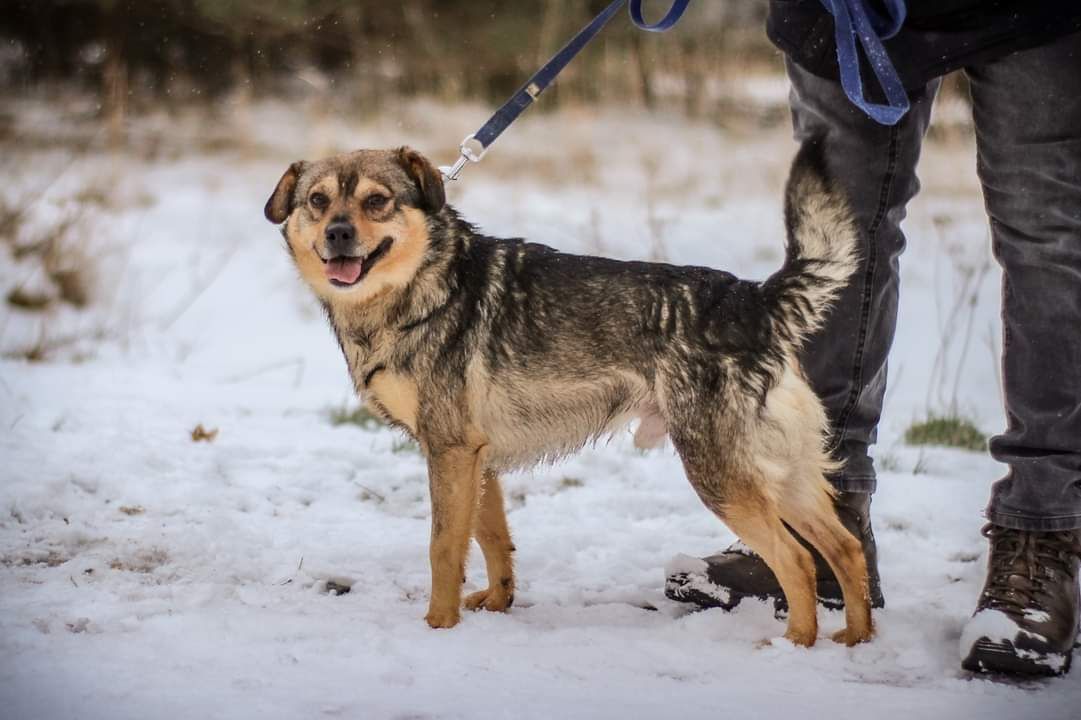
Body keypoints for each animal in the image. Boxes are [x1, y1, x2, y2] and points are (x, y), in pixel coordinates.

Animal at [265, 141, 873, 644]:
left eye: (377, 201)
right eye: (318, 201)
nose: (338, 234)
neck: (424, 284)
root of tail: (754, 299)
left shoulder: (448, 451)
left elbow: (442, 548)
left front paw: (438, 627)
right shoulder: (476, 459)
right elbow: (491, 541)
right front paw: (497, 605)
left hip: (720, 475)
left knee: (797, 561)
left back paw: (795, 644)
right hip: (781, 472)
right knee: (845, 547)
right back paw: (855, 638)